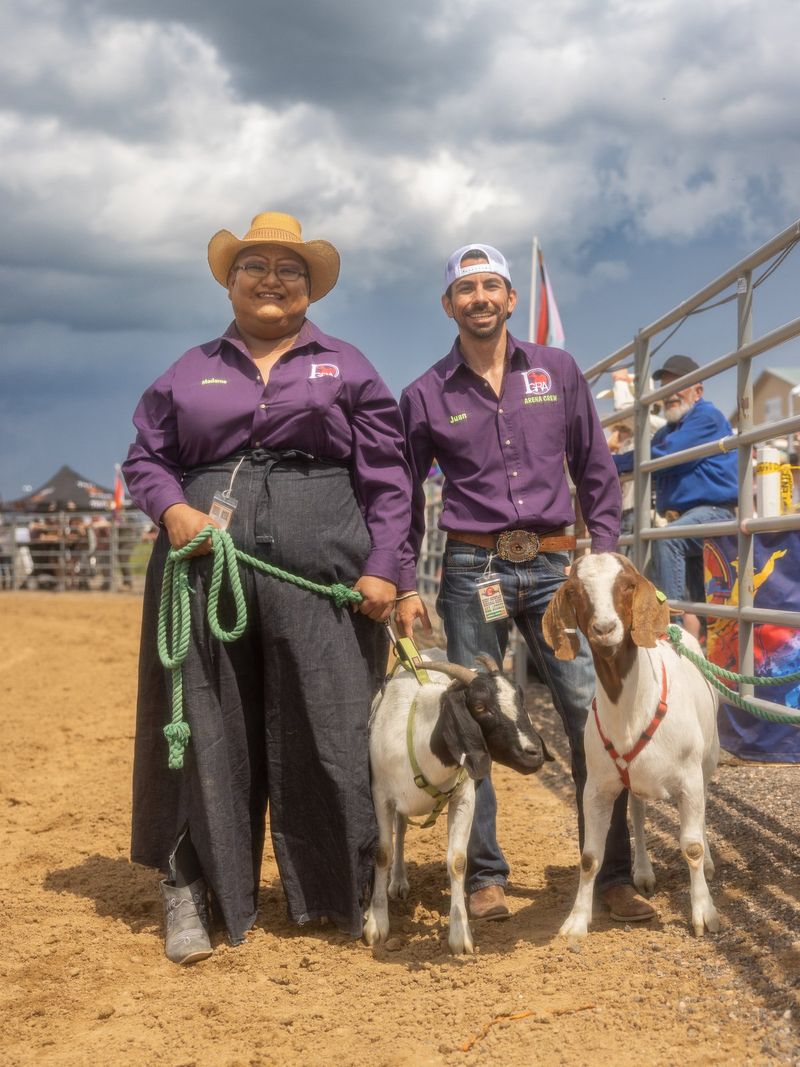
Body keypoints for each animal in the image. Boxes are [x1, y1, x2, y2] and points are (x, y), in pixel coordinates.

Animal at [364, 653, 550, 956]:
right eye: (480, 706)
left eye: (521, 699)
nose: (534, 753)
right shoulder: (381, 796)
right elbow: (382, 853)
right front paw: (376, 923)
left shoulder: (463, 797)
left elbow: (458, 861)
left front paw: (460, 935)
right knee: (399, 834)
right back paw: (397, 883)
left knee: (402, 829)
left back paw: (400, 880)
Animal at [546, 554, 721, 938]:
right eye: (576, 591)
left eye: (627, 585)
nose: (604, 628)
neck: (631, 709)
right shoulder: (597, 786)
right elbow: (590, 857)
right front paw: (576, 921)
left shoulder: (689, 778)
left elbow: (692, 846)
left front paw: (704, 913)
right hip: (635, 780)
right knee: (639, 816)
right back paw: (642, 873)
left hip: (708, 761)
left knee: (703, 812)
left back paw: (710, 864)